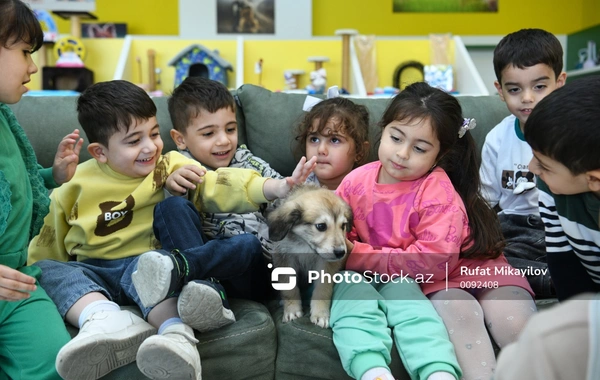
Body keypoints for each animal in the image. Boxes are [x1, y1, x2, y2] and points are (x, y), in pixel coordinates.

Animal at [268, 183, 352, 328]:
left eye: (343, 225)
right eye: (321, 226)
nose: (341, 253)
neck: (305, 245)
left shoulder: (326, 264)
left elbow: (322, 289)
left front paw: (320, 314)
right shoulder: (284, 258)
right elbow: (289, 289)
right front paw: (292, 310)